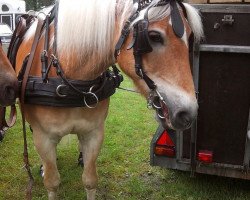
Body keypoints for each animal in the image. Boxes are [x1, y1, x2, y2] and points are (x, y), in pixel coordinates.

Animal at [12, 0, 202, 199]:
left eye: (190, 37)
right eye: (153, 36)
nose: (188, 113)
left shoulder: (94, 133)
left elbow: (89, 180)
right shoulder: (44, 138)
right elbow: (52, 183)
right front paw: (46, 170)